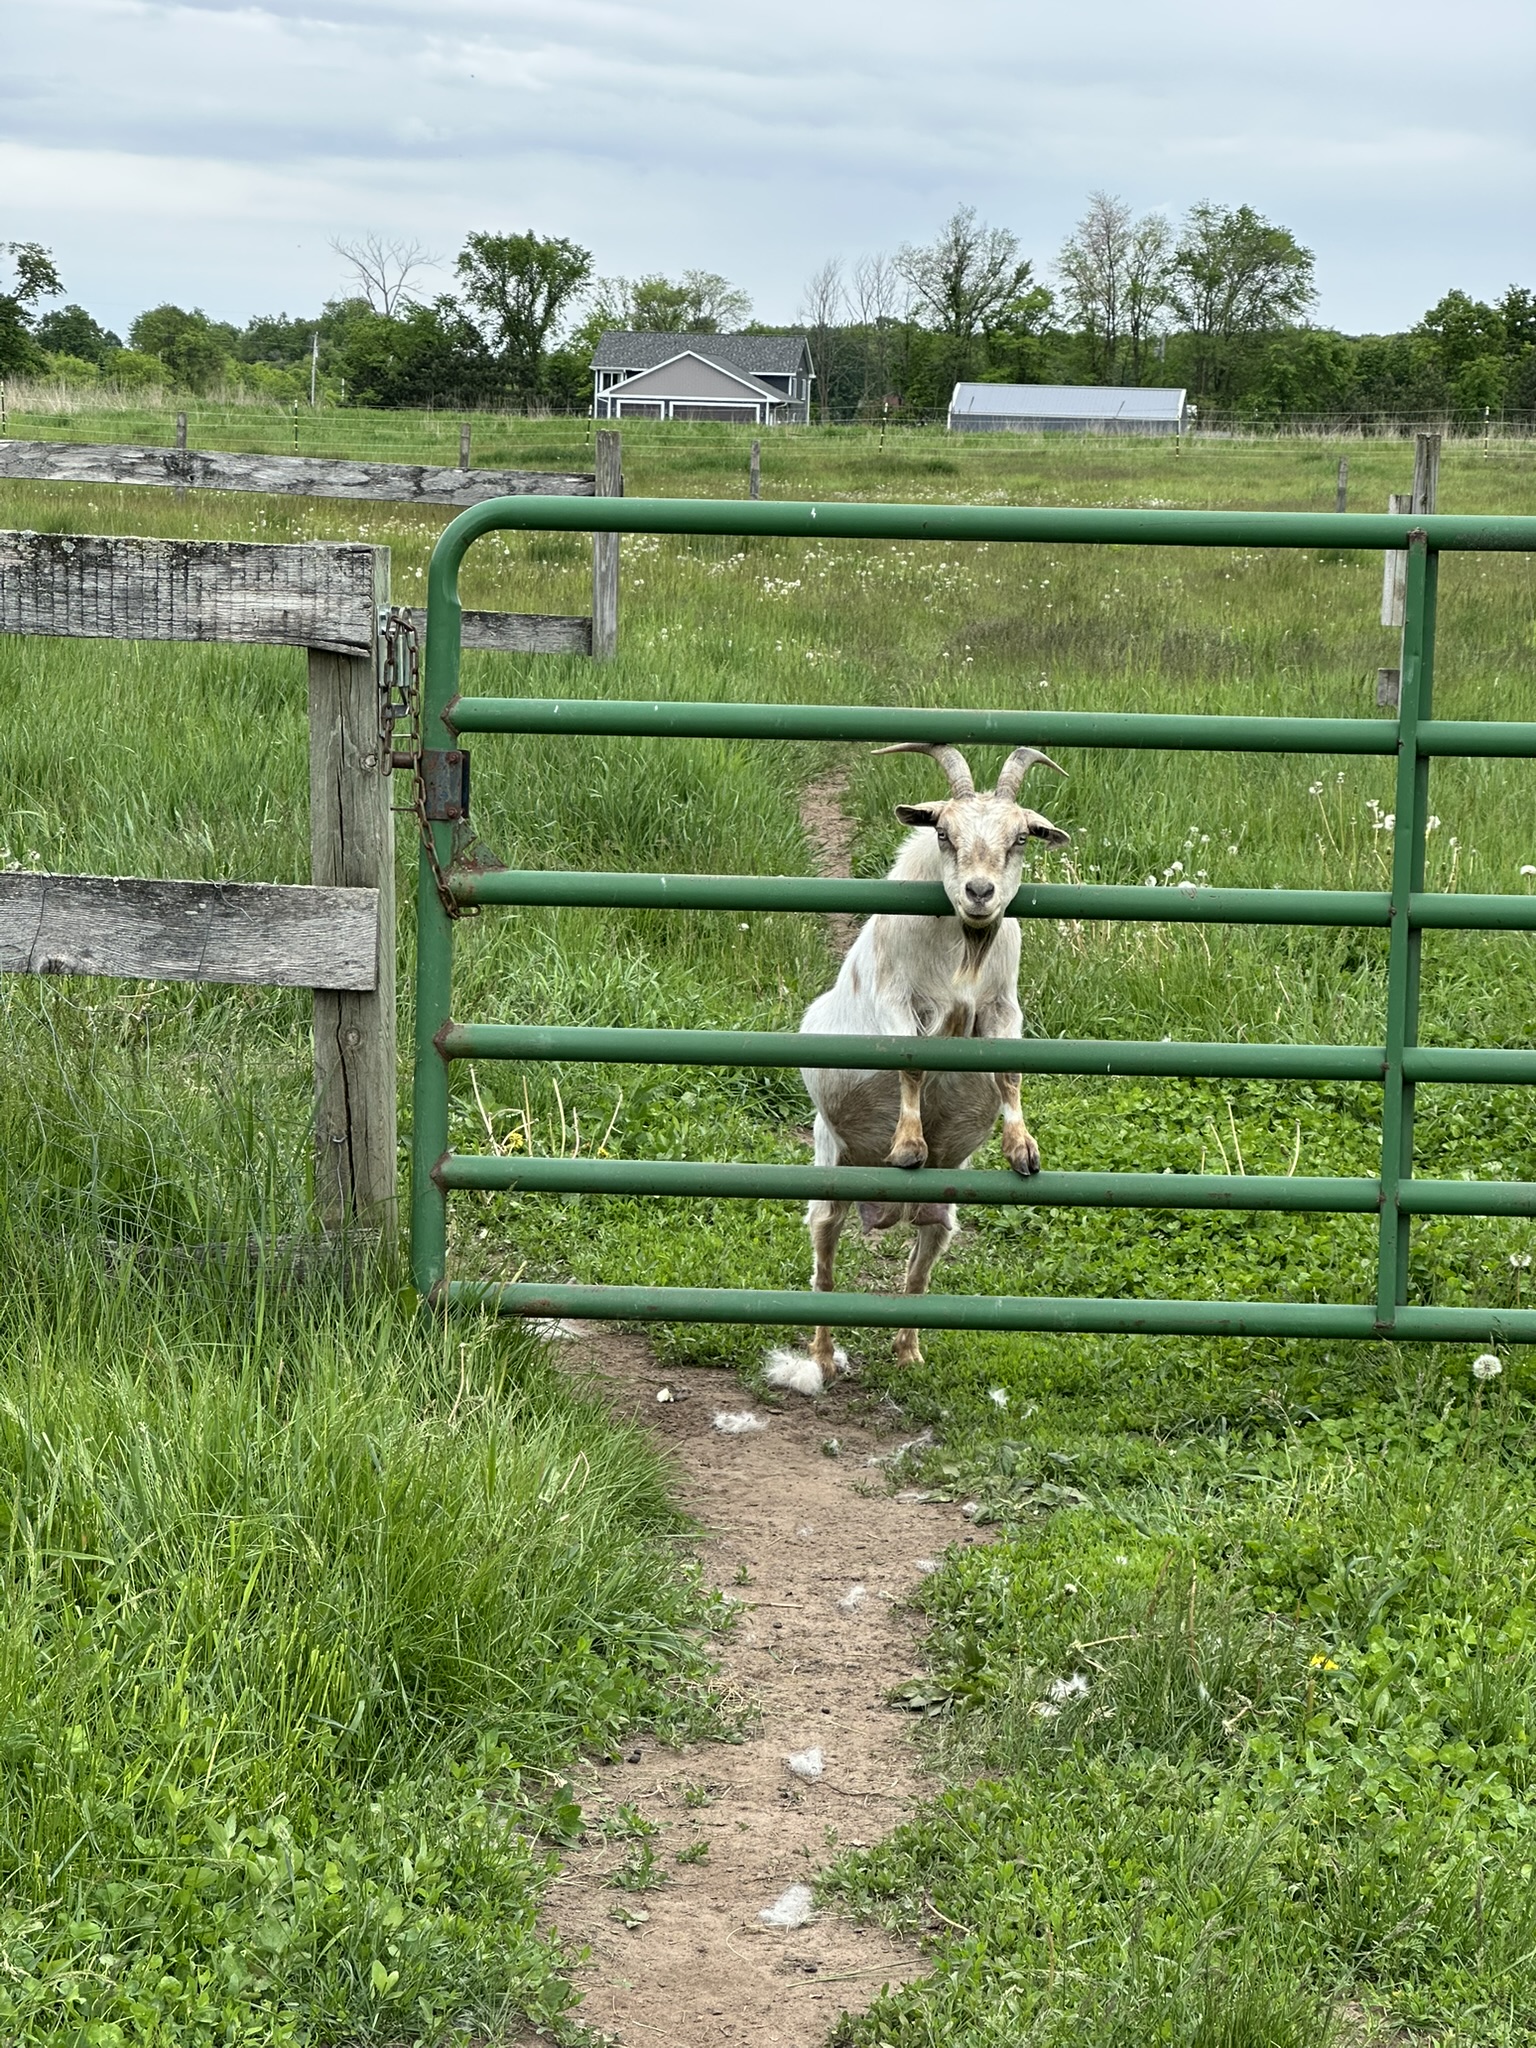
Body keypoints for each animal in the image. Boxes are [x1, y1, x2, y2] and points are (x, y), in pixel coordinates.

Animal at [767, 742, 1068, 1397]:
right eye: (945, 834)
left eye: (1020, 839)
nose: (980, 893)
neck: (963, 954)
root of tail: (890, 1212)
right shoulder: (897, 1000)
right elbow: (911, 1063)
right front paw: (908, 1145)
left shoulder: (1002, 1006)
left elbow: (1010, 1074)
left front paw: (1023, 1150)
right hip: (830, 1176)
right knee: (824, 1273)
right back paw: (822, 1360)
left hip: (941, 1217)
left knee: (915, 1278)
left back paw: (909, 1353)